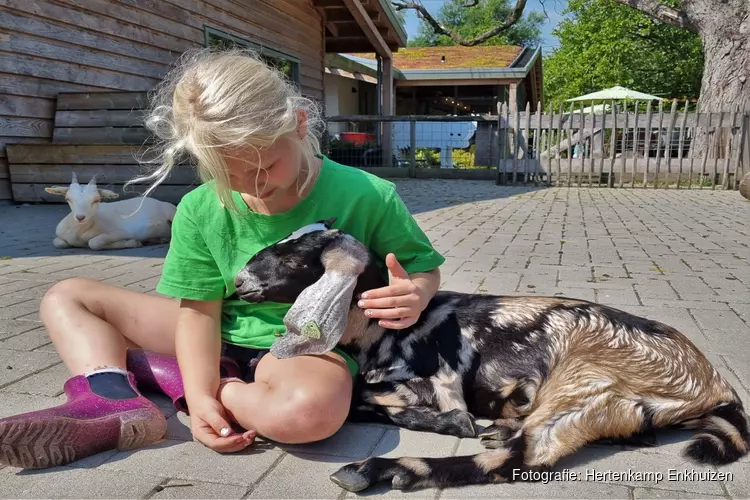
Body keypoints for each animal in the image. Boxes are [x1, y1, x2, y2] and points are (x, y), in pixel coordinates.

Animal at [45, 173, 178, 250]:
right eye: (68, 199)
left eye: (96, 200)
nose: (80, 217)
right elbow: (58, 242)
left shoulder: (121, 232)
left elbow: (94, 243)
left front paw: (133, 243)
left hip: (171, 211)